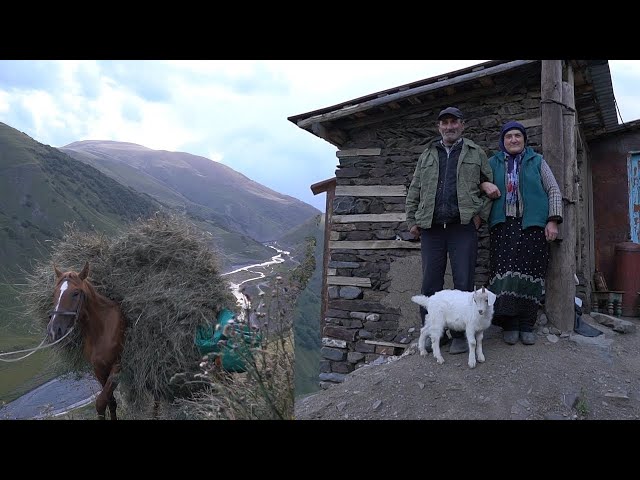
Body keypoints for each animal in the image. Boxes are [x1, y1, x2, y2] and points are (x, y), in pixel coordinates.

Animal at [48, 262, 125, 420]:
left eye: (76, 293)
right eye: (55, 293)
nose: (54, 330)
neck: (102, 331)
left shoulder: (117, 367)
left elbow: (100, 403)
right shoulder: (99, 370)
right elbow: (111, 402)